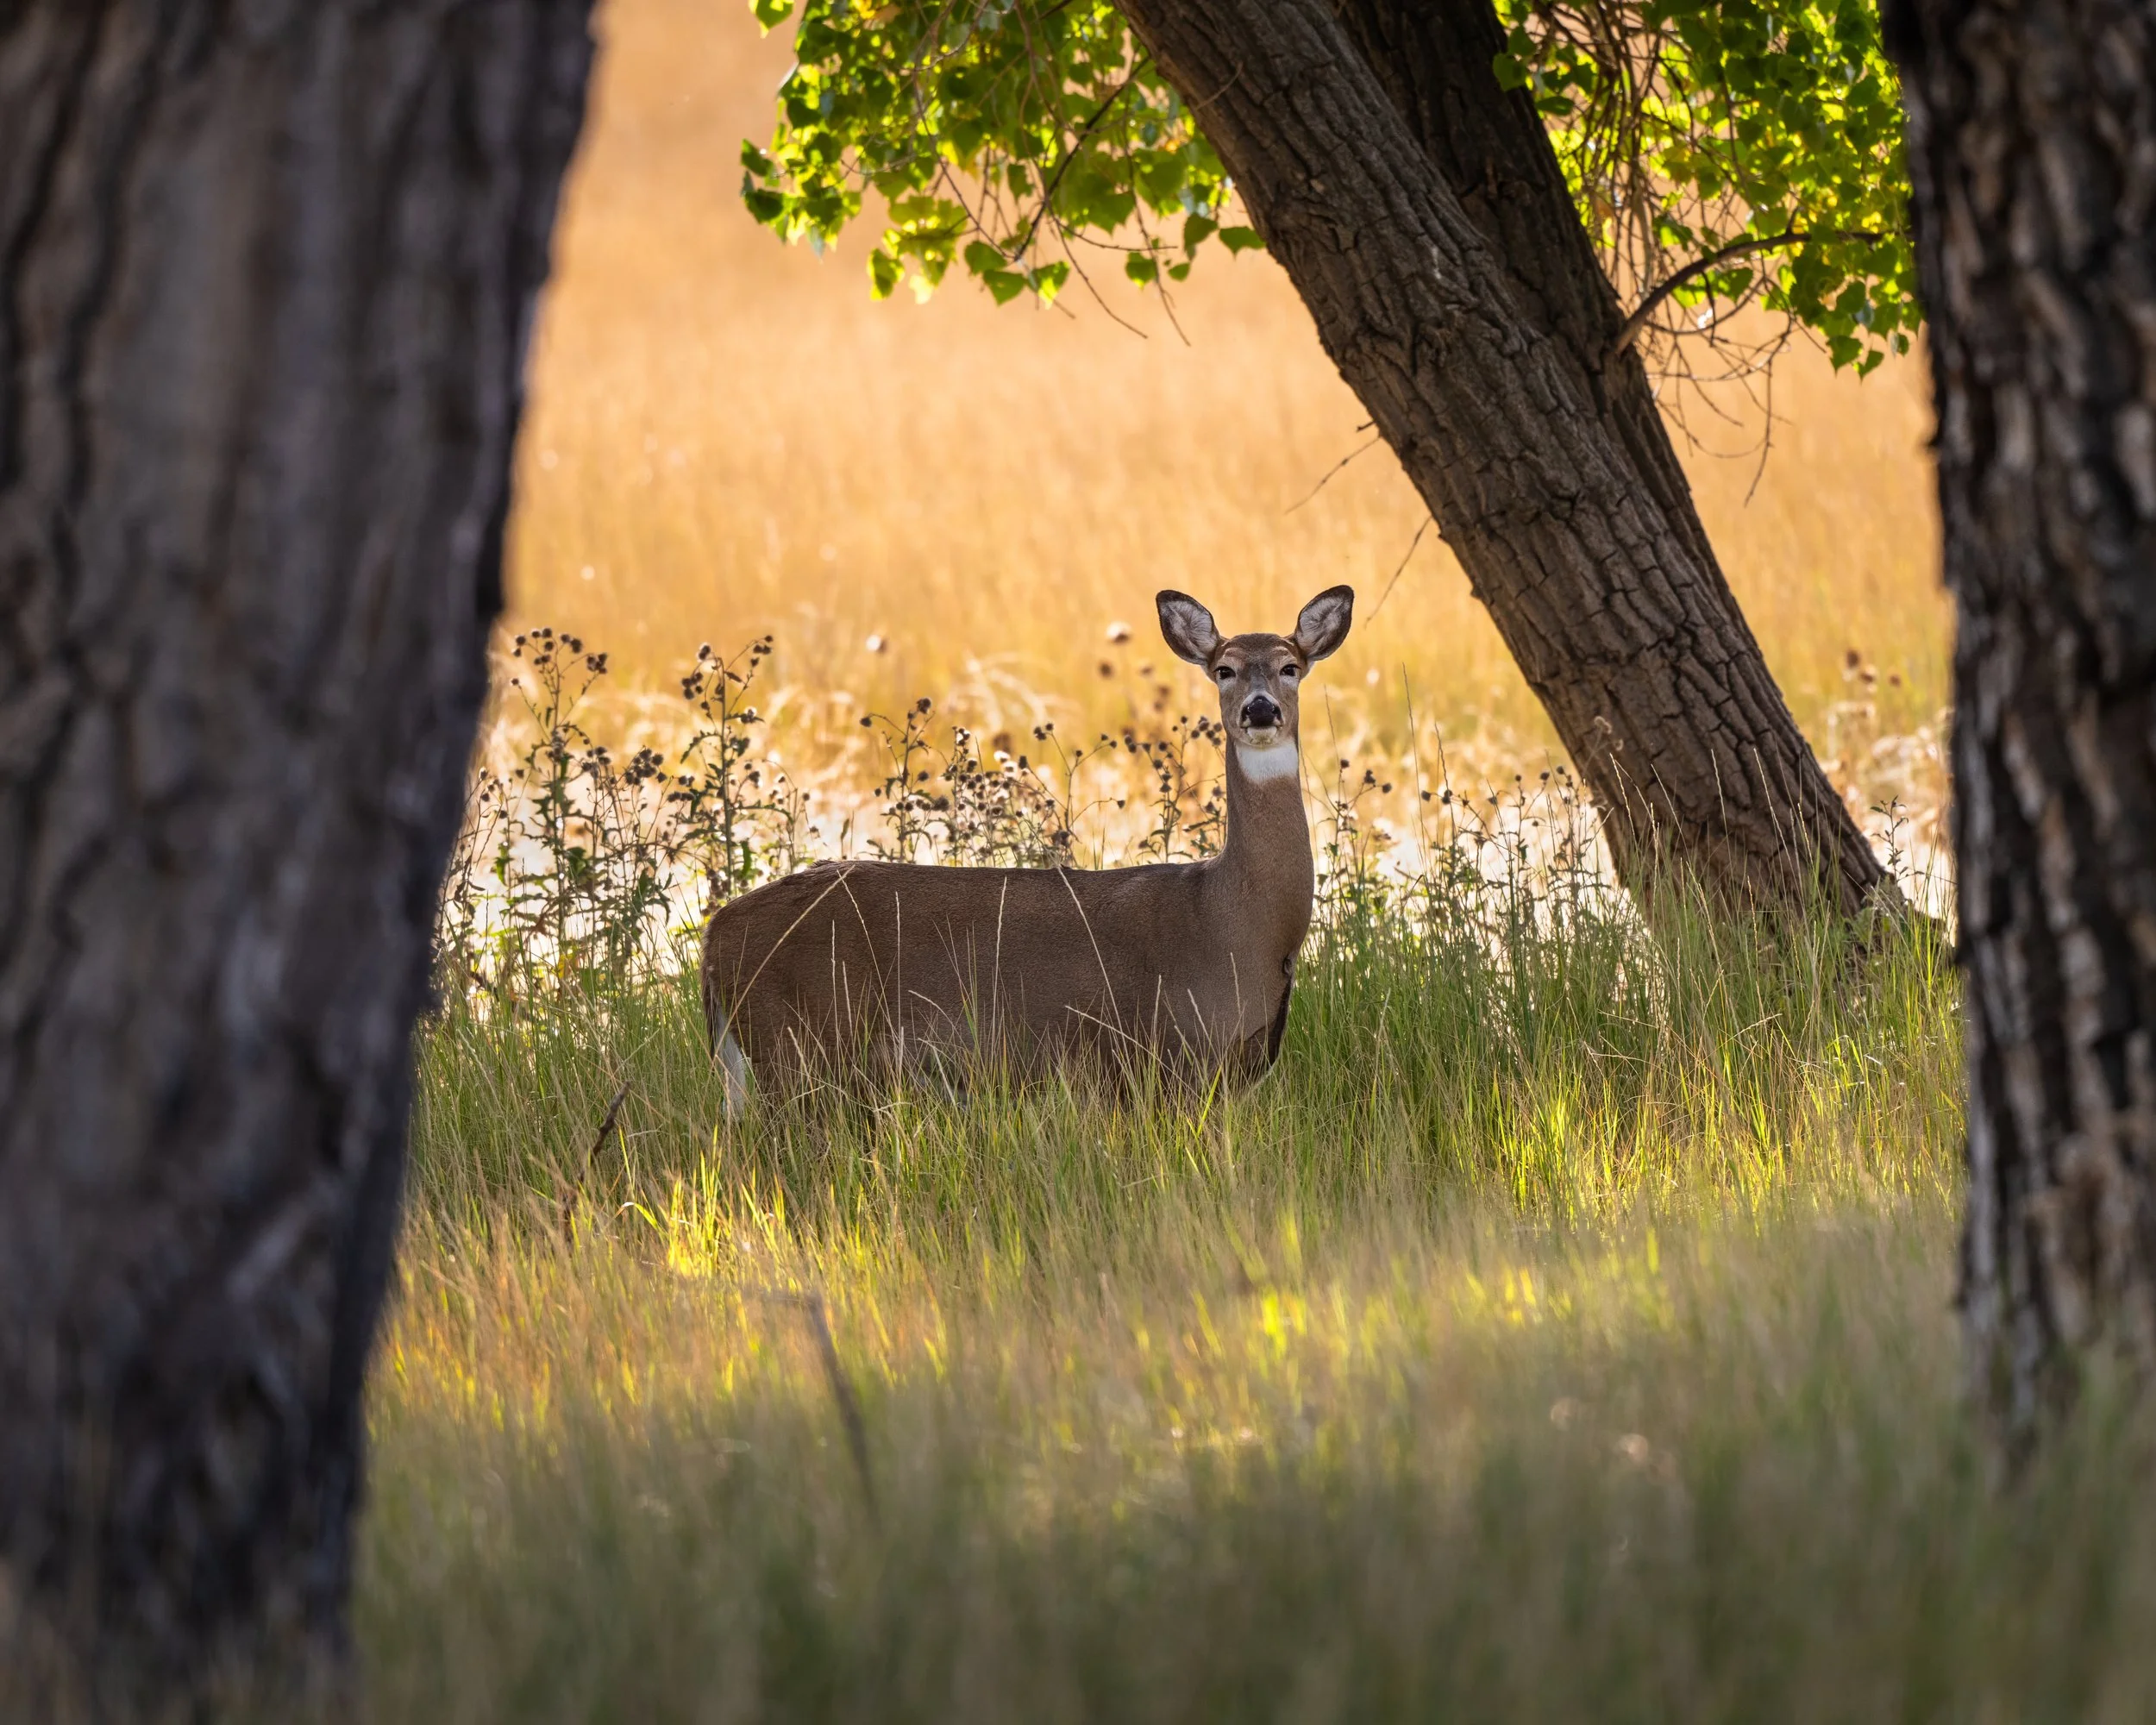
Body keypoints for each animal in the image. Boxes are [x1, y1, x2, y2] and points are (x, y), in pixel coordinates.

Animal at [700, 585, 1354, 1110]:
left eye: (1290, 666)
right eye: (1224, 669)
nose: (1260, 709)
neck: (1234, 920)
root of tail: (714, 937)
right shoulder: (1160, 1058)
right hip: (794, 1045)